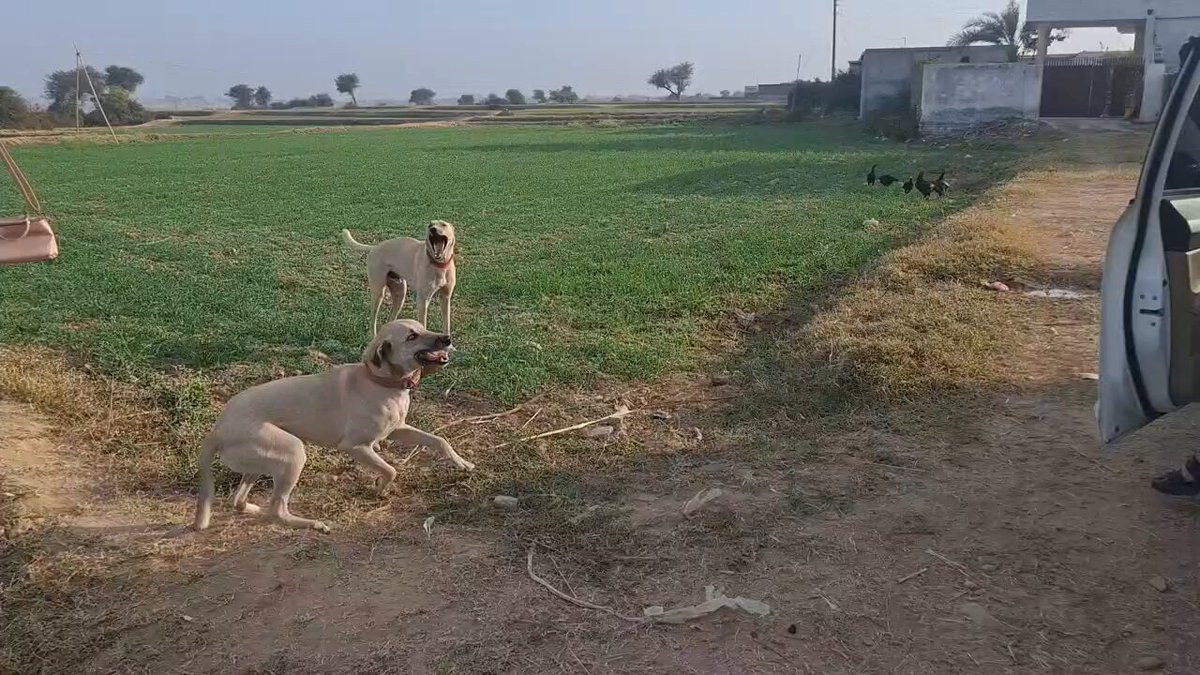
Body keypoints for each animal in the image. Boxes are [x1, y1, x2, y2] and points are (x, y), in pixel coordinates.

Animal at [191, 319, 473, 533]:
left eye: (424, 326)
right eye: (412, 336)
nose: (447, 338)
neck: (380, 381)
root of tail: (218, 429)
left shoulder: (398, 430)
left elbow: (439, 440)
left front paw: (463, 463)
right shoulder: (355, 447)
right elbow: (391, 470)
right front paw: (379, 488)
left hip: (260, 463)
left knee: (238, 500)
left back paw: (251, 508)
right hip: (293, 453)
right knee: (277, 509)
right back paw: (313, 524)